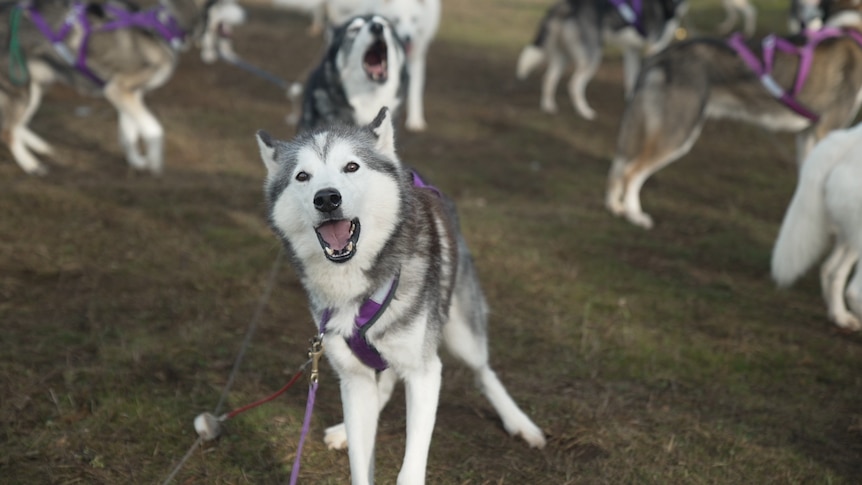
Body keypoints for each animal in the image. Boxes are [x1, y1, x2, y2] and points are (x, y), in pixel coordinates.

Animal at [1, 0, 246, 174]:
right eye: (224, 2)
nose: (247, 14)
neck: (162, 29)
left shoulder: (132, 95)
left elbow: (130, 132)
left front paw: (137, 161)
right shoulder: (119, 90)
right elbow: (154, 129)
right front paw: (155, 162)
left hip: (35, 88)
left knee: (16, 125)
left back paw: (40, 147)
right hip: (22, 88)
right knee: (8, 131)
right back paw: (31, 164)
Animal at [255, 107, 548, 484]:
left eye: (351, 166)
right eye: (302, 176)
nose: (327, 198)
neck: (359, 287)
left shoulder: (425, 373)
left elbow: (411, 464)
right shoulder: (353, 377)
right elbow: (360, 462)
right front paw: (353, 437)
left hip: (460, 333)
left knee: (483, 371)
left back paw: (520, 423)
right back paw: (345, 429)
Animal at [516, 0, 692, 120]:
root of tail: (566, 5)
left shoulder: (631, 51)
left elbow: (632, 80)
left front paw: (631, 103)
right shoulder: (655, 47)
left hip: (563, 56)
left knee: (548, 78)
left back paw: (549, 107)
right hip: (592, 56)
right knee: (574, 84)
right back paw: (584, 112)